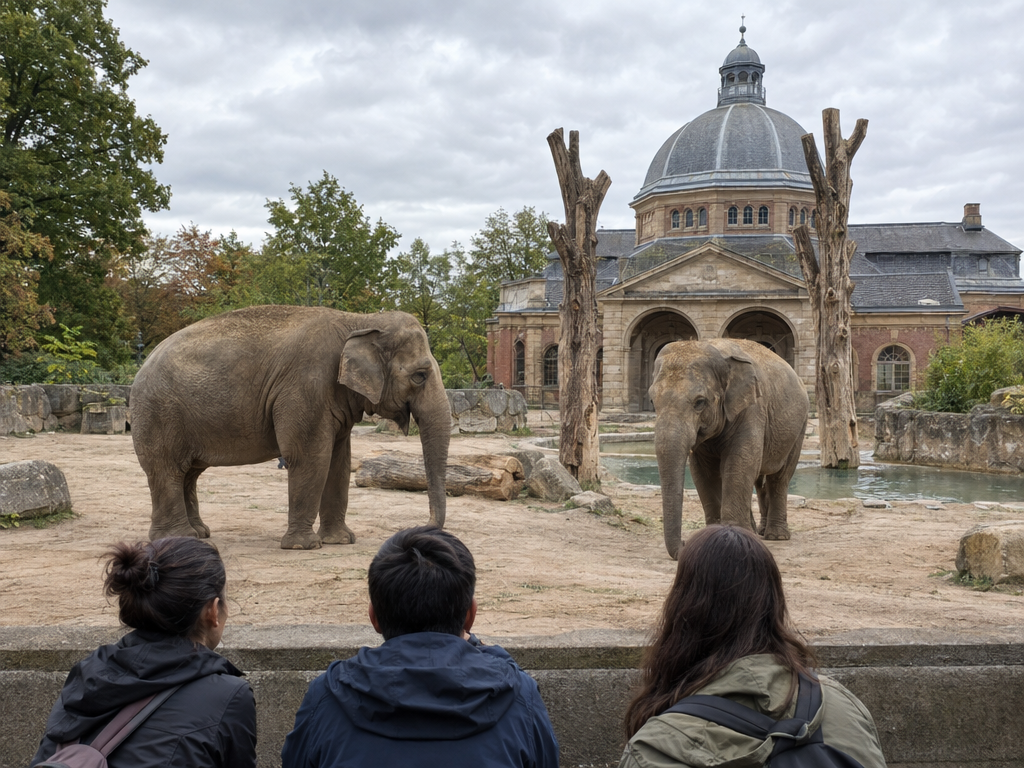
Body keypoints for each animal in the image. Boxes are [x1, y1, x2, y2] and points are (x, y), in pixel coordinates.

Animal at [130, 305, 450, 550]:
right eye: (420, 376)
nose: (420, 527)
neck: (361, 320)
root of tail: (143, 365)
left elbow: (339, 462)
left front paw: (340, 541)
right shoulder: (305, 387)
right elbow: (309, 457)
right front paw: (303, 546)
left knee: (189, 473)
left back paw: (199, 534)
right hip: (158, 413)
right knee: (167, 470)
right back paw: (177, 538)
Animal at [649, 338, 808, 559]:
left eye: (700, 402)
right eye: (652, 401)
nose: (684, 543)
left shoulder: (752, 410)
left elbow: (740, 461)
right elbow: (703, 472)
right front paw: (715, 537)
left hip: (799, 426)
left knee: (779, 477)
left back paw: (776, 536)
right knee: (759, 479)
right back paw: (758, 531)